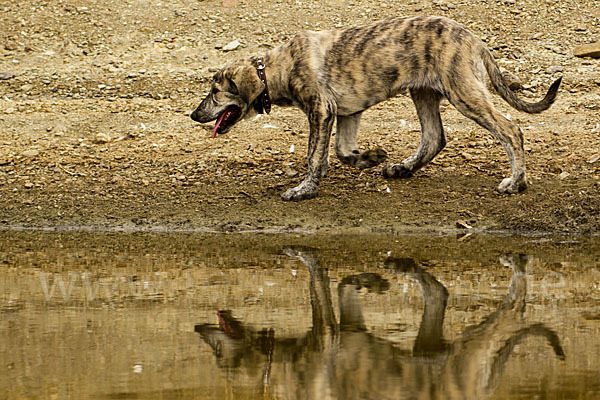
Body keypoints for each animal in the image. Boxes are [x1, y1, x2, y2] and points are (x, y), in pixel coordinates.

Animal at [192, 16, 564, 202]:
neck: (275, 68)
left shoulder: (321, 110)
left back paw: (515, 183)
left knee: (510, 130)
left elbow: (314, 155)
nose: (194, 115)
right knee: (434, 137)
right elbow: (341, 151)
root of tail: (474, 38)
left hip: (463, 92)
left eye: (214, 92)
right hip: (423, 91)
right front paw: (370, 157)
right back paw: (403, 168)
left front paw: (304, 190)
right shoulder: (347, 113)